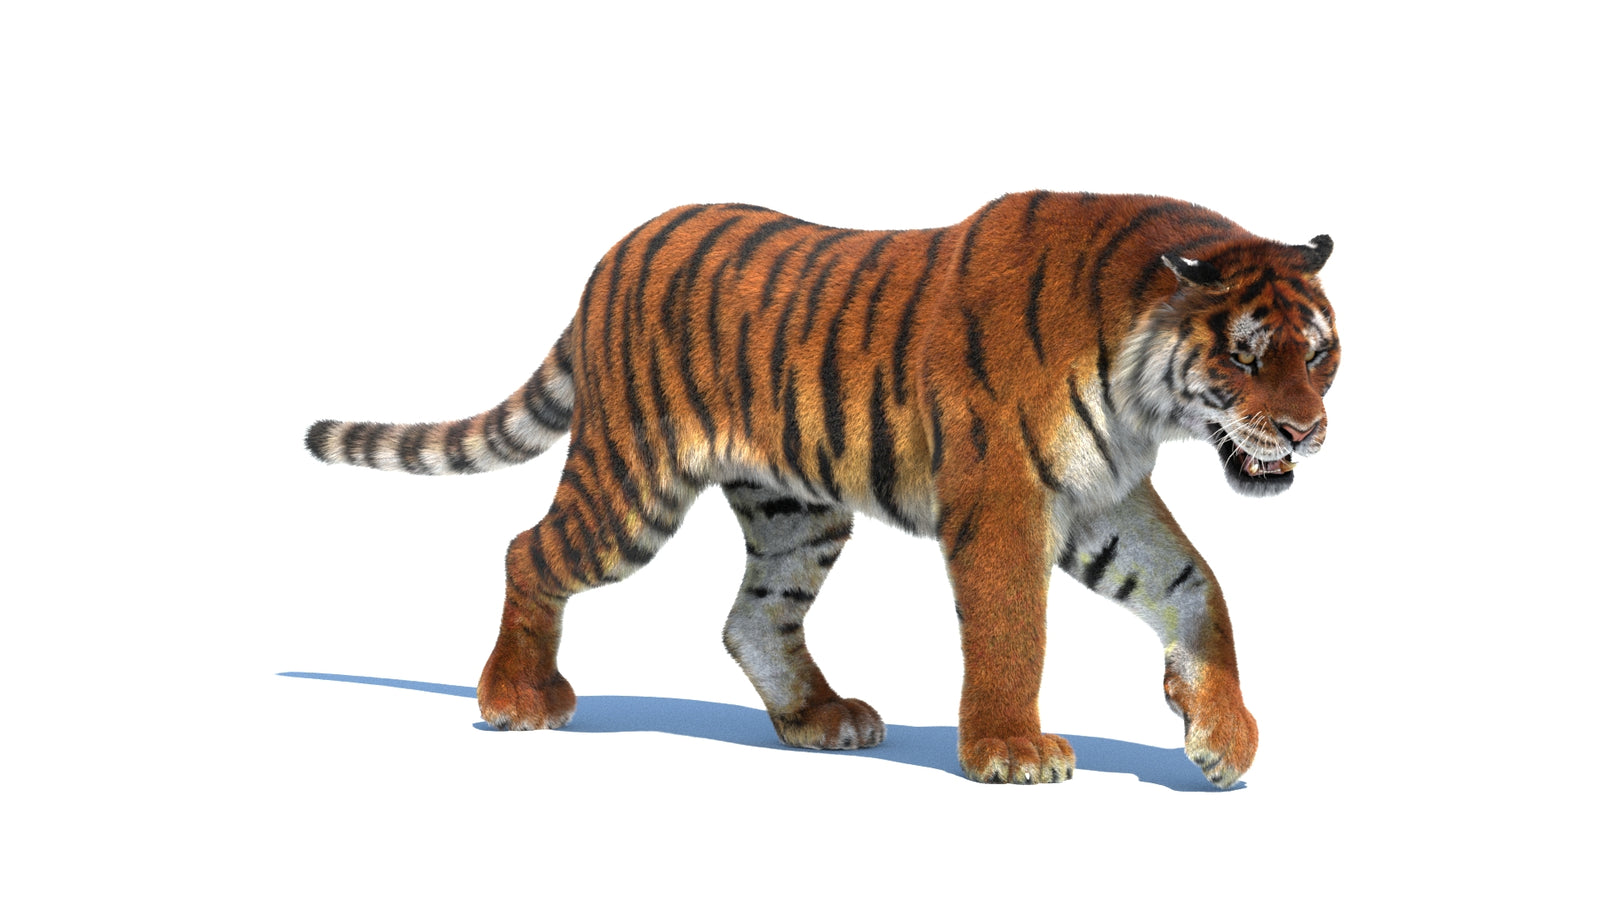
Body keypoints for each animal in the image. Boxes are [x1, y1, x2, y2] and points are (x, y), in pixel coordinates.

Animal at [306, 191, 1338, 788]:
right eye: (1247, 356)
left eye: (1319, 355)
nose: (1304, 432)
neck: (1139, 391)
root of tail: (615, 254)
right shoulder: (1004, 501)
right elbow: (1015, 631)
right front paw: (1011, 751)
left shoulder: (1099, 499)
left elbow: (1195, 589)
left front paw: (1222, 737)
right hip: (630, 486)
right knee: (530, 550)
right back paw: (518, 697)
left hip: (795, 510)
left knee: (752, 616)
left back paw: (819, 718)